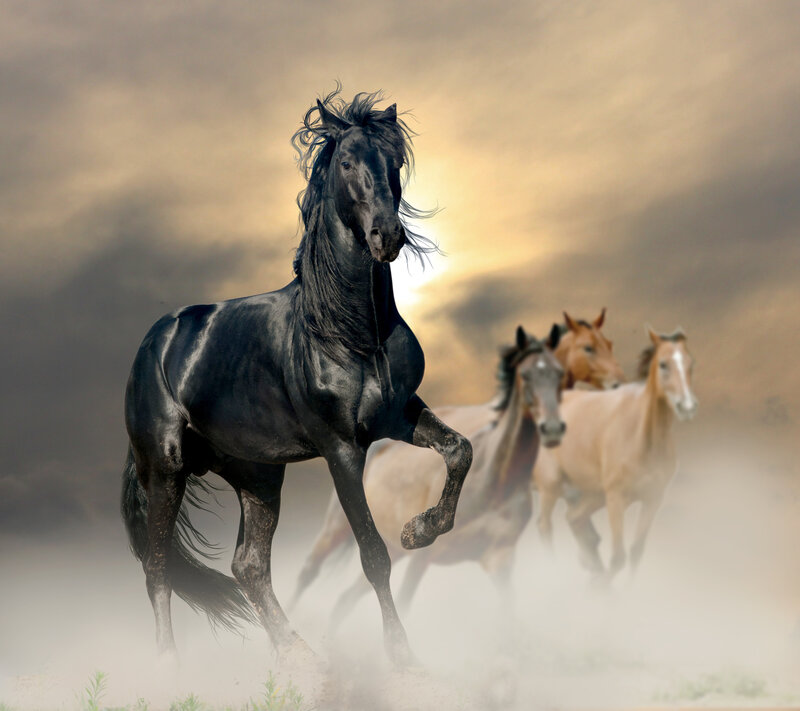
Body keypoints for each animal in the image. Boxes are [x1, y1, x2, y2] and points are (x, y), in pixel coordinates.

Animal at [120, 89, 473, 667]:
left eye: (394, 161)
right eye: (347, 162)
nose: (387, 236)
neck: (349, 332)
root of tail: (155, 343)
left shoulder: (400, 415)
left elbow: (459, 450)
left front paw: (419, 530)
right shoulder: (341, 449)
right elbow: (373, 554)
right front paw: (401, 655)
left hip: (258, 476)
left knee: (249, 566)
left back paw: (300, 657)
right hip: (166, 470)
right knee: (157, 570)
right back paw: (170, 668)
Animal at [290, 325, 565, 620]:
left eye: (559, 373)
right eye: (526, 375)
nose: (552, 428)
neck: (496, 480)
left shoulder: (499, 560)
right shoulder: (423, 557)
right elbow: (405, 601)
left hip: (394, 549)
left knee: (348, 597)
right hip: (336, 529)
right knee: (307, 573)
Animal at [534, 327, 698, 580]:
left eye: (690, 364)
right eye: (663, 364)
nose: (687, 407)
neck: (643, 439)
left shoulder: (653, 499)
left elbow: (635, 553)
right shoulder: (616, 498)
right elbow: (618, 557)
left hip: (591, 494)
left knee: (575, 520)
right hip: (551, 487)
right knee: (544, 527)